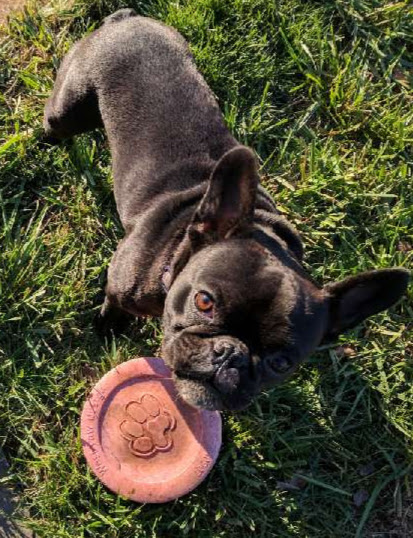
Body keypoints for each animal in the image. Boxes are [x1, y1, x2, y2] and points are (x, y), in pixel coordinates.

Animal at [43, 8, 408, 408]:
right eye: (204, 302)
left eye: (281, 363)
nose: (231, 354)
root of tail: (126, 18)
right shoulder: (120, 282)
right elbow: (113, 303)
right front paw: (109, 327)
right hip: (70, 110)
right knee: (56, 122)